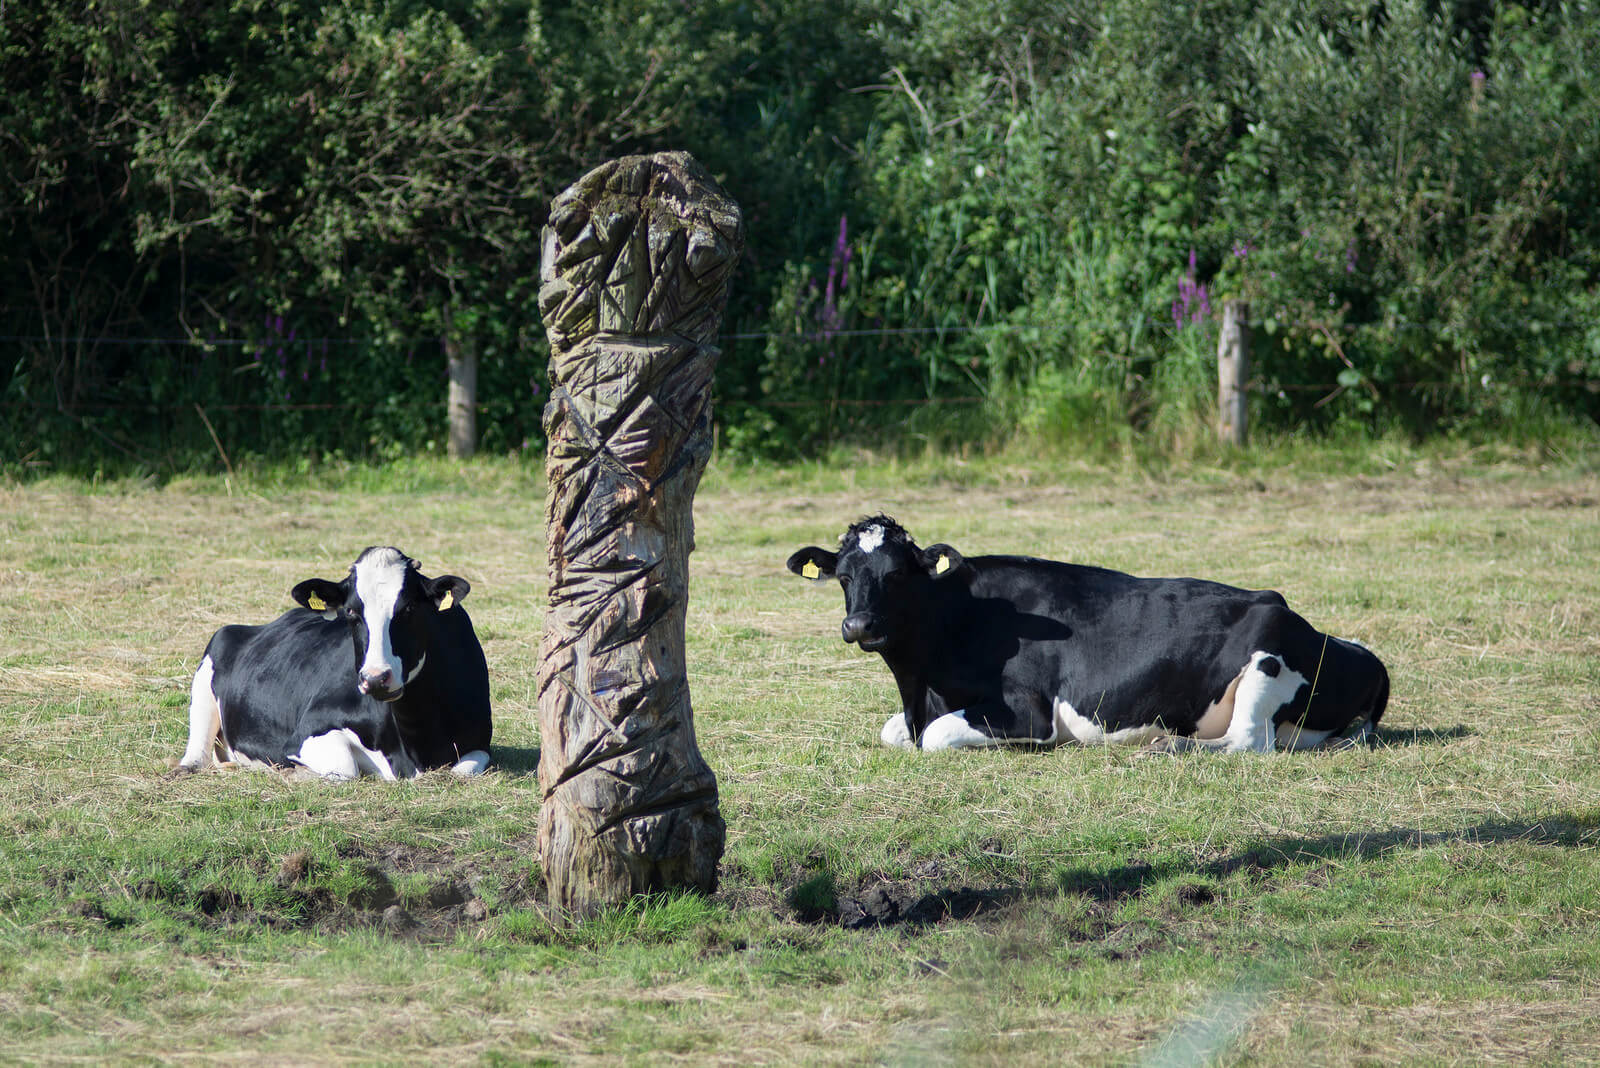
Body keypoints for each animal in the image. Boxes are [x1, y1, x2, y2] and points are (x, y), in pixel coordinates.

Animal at [175, 546, 492, 780]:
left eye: (410, 608)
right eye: (351, 611)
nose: (375, 678)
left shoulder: (479, 742)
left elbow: (463, 771)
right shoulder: (306, 732)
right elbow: (345, 768)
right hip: (209, 670)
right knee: (196, 756)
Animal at [787, 514, 1388, 751]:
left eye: (897, 575)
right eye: (844, 577)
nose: (858, 625)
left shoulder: (1027, 713)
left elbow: (936, 736)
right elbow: (891, 732)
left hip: (1268, 653)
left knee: (1246, 740)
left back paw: (1170, 746)